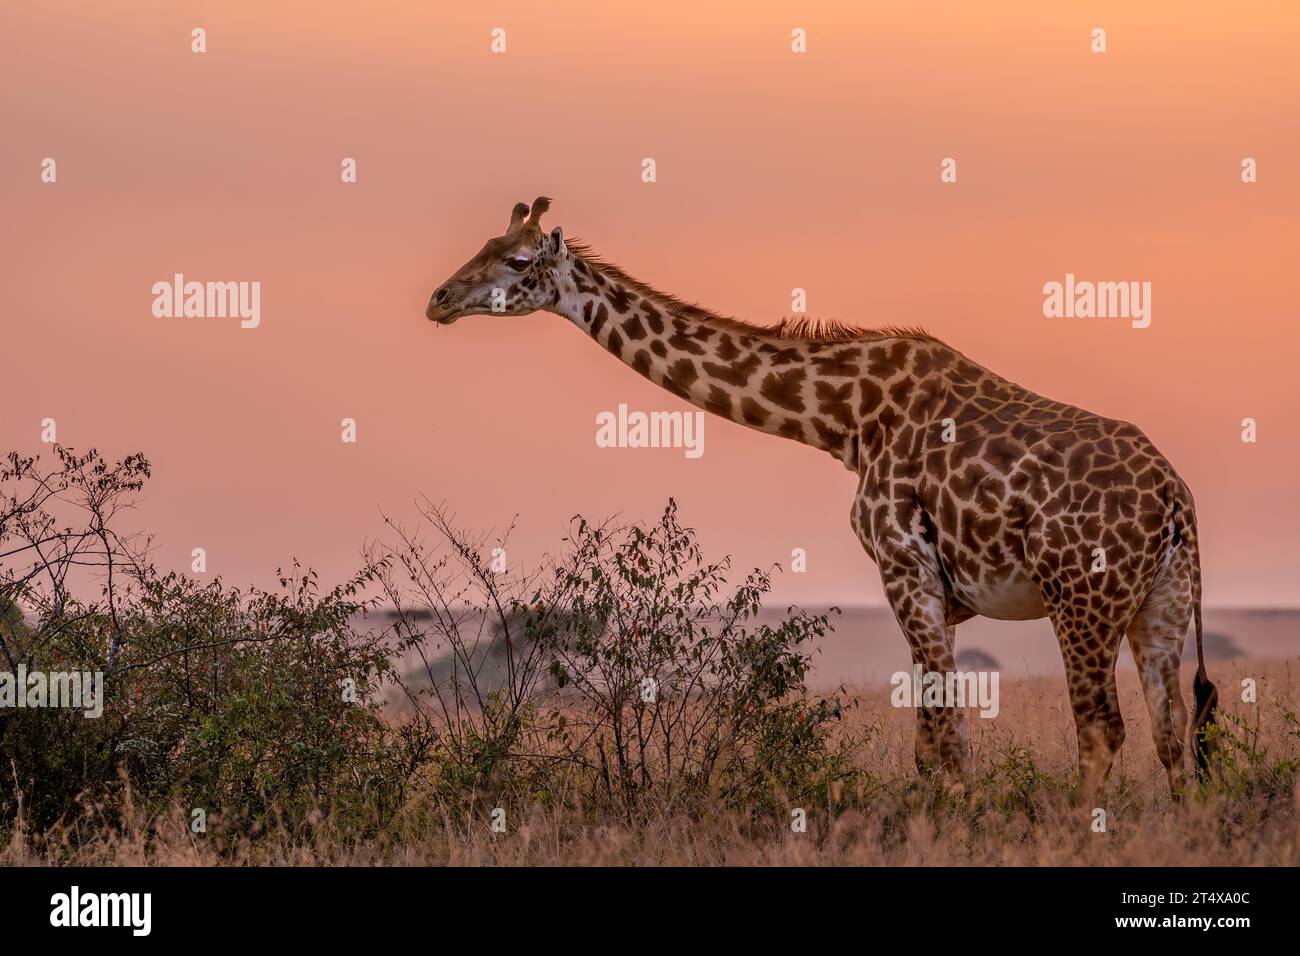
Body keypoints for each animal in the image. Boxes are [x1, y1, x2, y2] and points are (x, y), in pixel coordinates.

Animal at [426, 197, 1218, 804]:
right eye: (485, 245)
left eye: (518, 262)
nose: (439, 300)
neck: (845, 417)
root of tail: (1175, 501)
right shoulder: (938, 592)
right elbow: (930, 740)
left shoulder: (904, 568)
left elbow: (950, 737)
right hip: (1162, 602)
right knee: (1171, 727)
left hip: (1082, 599)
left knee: (1103, 728)